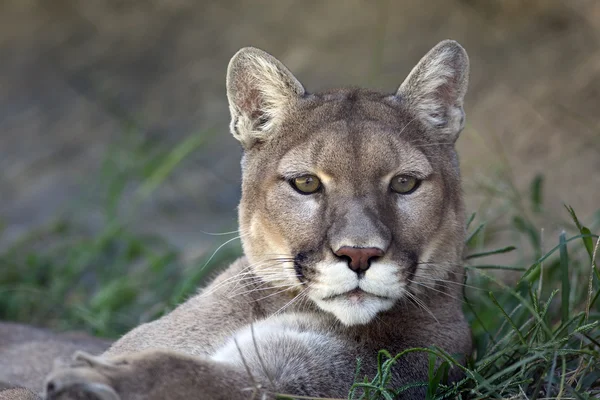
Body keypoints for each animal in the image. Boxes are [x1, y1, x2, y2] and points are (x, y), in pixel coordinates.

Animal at [1, 38, 474, 400]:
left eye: (404, 184)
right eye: (306, 183)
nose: (359, 254)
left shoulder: (310, 379)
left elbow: (197, 377)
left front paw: (95, 379)